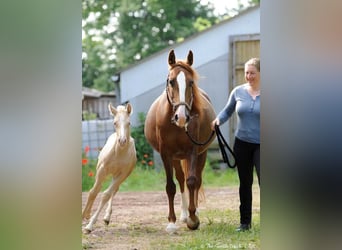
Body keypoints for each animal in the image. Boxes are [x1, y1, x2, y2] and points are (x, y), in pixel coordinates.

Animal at [82, 102, 136, 233]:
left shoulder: (122, 174)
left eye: (129, 123)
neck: (118, 154)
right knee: (99, 190)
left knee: (113, 191)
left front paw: (89, 226)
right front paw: (84, 215)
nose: (122, 141)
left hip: (118, 176)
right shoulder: (101, 170)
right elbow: (93, 192)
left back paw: (106, 218)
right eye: (115, 123)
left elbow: (106, 195)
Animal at [145, 50, 215, 232]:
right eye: (171, 81)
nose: (182, 117)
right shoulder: (166, 154)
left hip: (201, 154)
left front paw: (193, 219)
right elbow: (171, 186)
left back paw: (193, 212)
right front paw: (172, 222)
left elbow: (192, 181)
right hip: (176, 158)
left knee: (196, 180)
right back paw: (183, 215)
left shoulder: (192, 151)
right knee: (181, 179)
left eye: (191, 82)